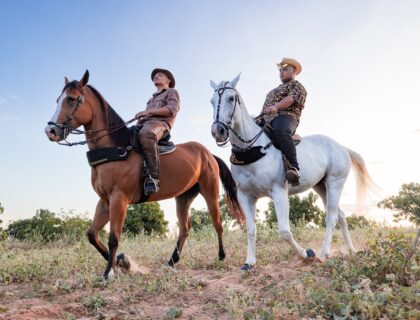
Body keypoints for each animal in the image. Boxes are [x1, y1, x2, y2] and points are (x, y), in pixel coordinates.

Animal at [44, 70, 244, 278]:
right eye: (58, 99)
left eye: (71, 99)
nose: (50, 130)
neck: (116, 148)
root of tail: (208, 154)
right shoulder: (105, 201)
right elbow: (92, 235)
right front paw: (121, 262)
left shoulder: (119, 199)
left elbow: (113, 238)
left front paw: (109, 272)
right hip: (183, 197)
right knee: (184, 228)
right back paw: (172, 261)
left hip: (210, 191)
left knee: (217, 222)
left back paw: (221, 255)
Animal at [209, 75, 374, 270]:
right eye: (212, 101)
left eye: (231, 98)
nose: (218, 131)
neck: (252, 148)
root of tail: (341, 147)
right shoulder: (245, 196)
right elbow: (250, 230)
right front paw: (249, 263)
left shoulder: (279, 192)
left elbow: (284, 232)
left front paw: (306, 254)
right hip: (321, 187)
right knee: (341, 216)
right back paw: (351, 250)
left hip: (335, 184)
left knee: (332, 218)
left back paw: (323, 254)